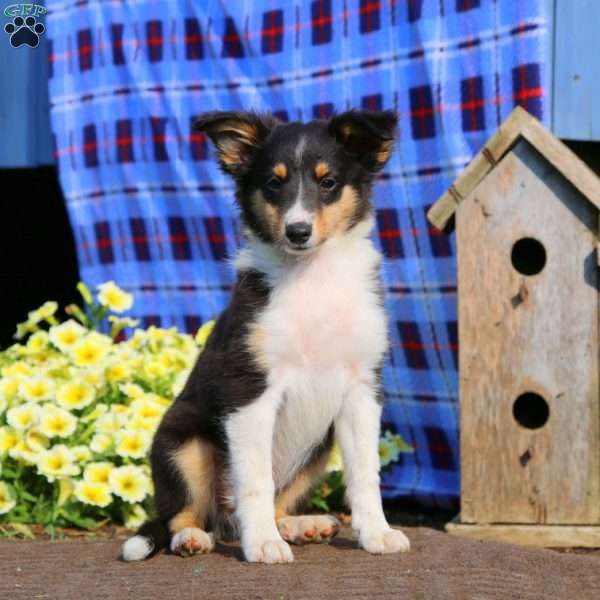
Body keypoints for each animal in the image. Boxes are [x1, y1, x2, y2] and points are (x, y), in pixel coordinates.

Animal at [122, 108, 412, 564]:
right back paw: (194, 538)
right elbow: (255, 480)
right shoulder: (250, 389)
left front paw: (377, 534)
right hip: (182, 443)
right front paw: (261, 544)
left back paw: (300, 525)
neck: (313, 278)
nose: (297, 231)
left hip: (317, 449)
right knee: (180, 514)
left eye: (328, 182)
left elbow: (366, 475)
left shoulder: (362, 387)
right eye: (274, 183)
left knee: (278, 501)